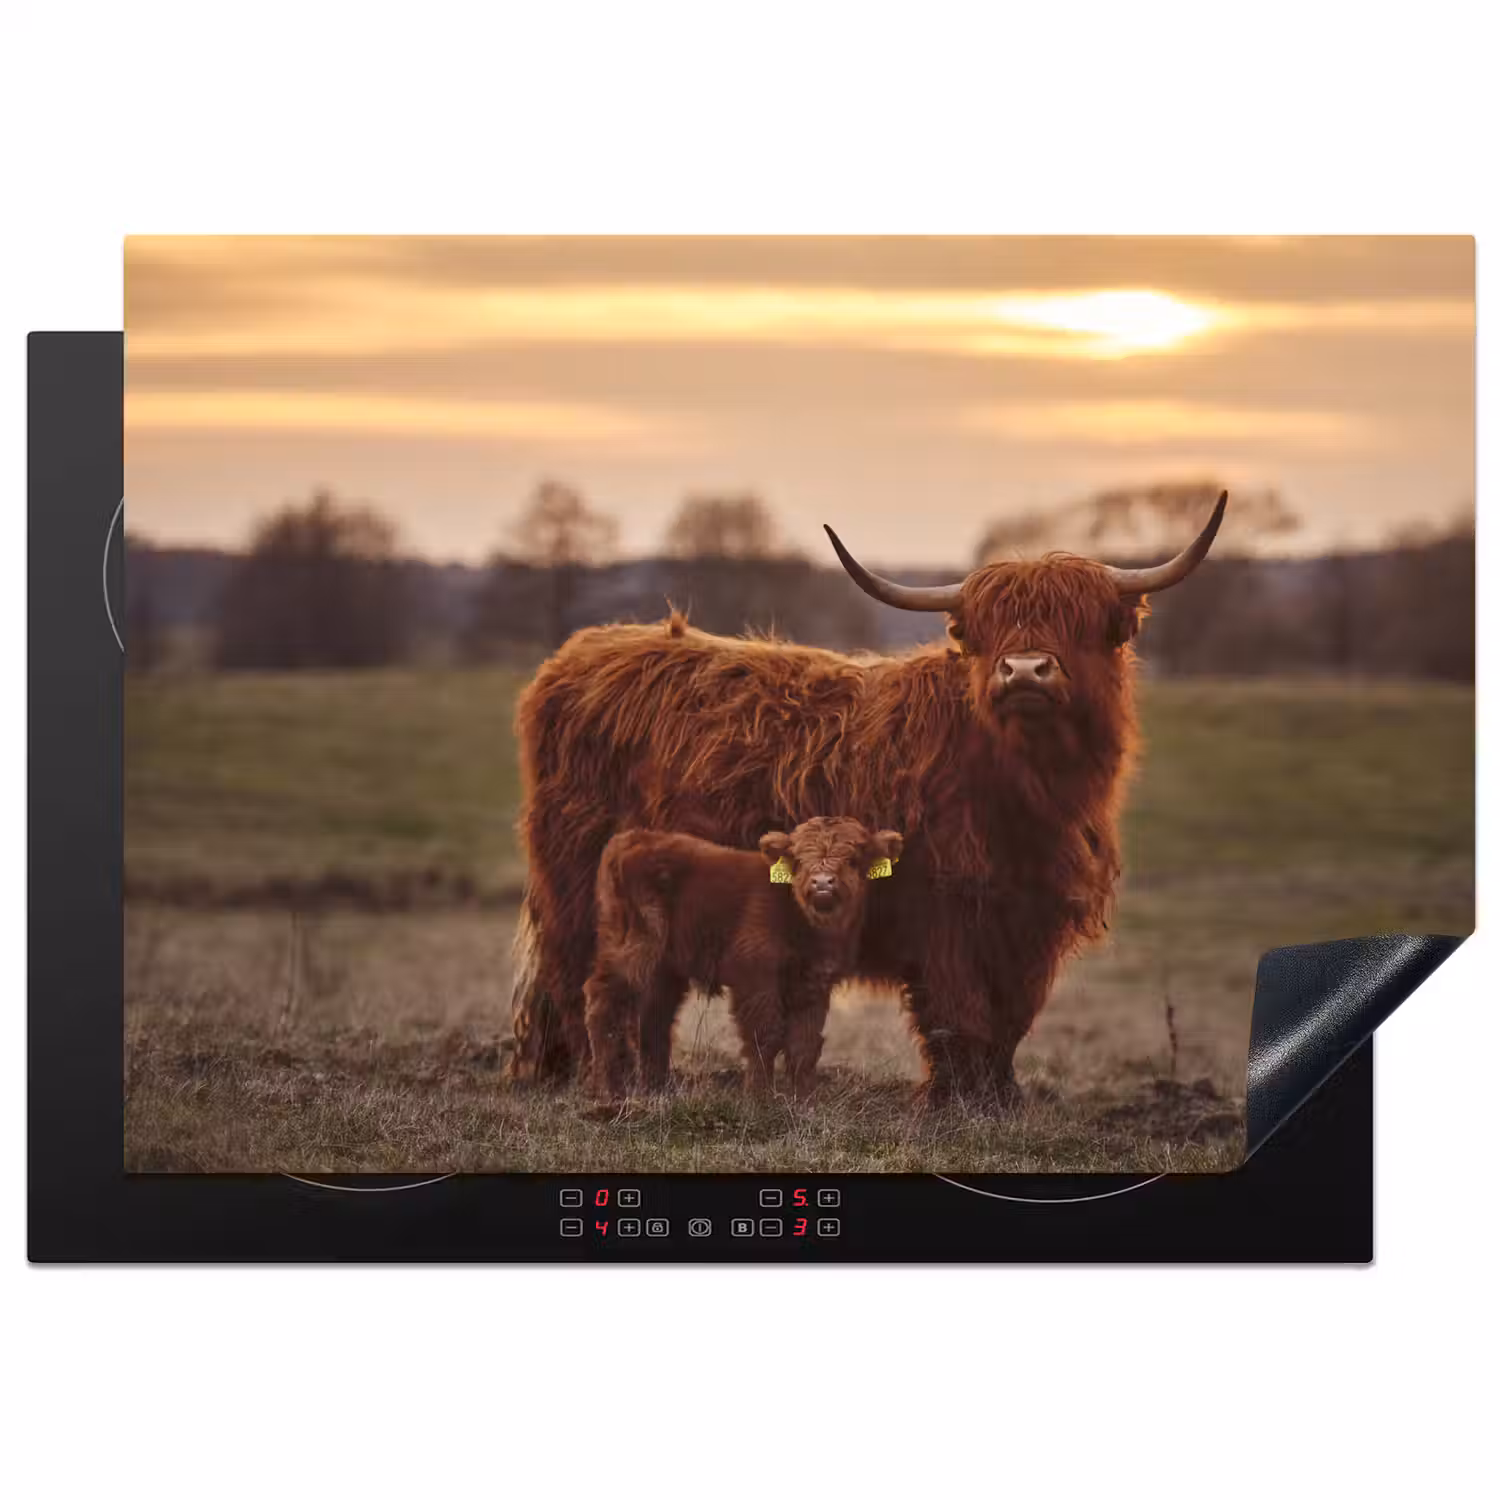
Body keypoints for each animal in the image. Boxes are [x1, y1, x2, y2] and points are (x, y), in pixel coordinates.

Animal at [584, 816, 904, 1098]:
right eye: (799, 860)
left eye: (853, 859)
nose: (822, 882)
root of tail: (633, 838)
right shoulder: (756, 976)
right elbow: (765, 1036)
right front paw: (759, 1099)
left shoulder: (814, 984)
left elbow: (805, 1044)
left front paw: (805, 1102)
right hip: (636, 947)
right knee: (603, 1002)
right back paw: (608, 1091)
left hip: (664, 967)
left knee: (655, 1018)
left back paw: (657, 1091)